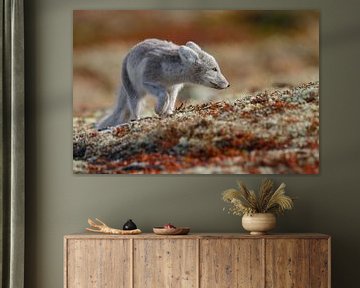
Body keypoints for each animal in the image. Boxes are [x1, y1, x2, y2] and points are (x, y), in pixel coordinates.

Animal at [97, 38, 229, 129]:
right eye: (214, 69)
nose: (228, 85)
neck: (171, 77)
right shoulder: (148, 82)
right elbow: (164, 95)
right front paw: (159, 110)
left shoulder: (174, 89)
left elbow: (171, 101)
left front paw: (168, 113)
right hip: (135, 94)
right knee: (133, 110)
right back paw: (137, 120)